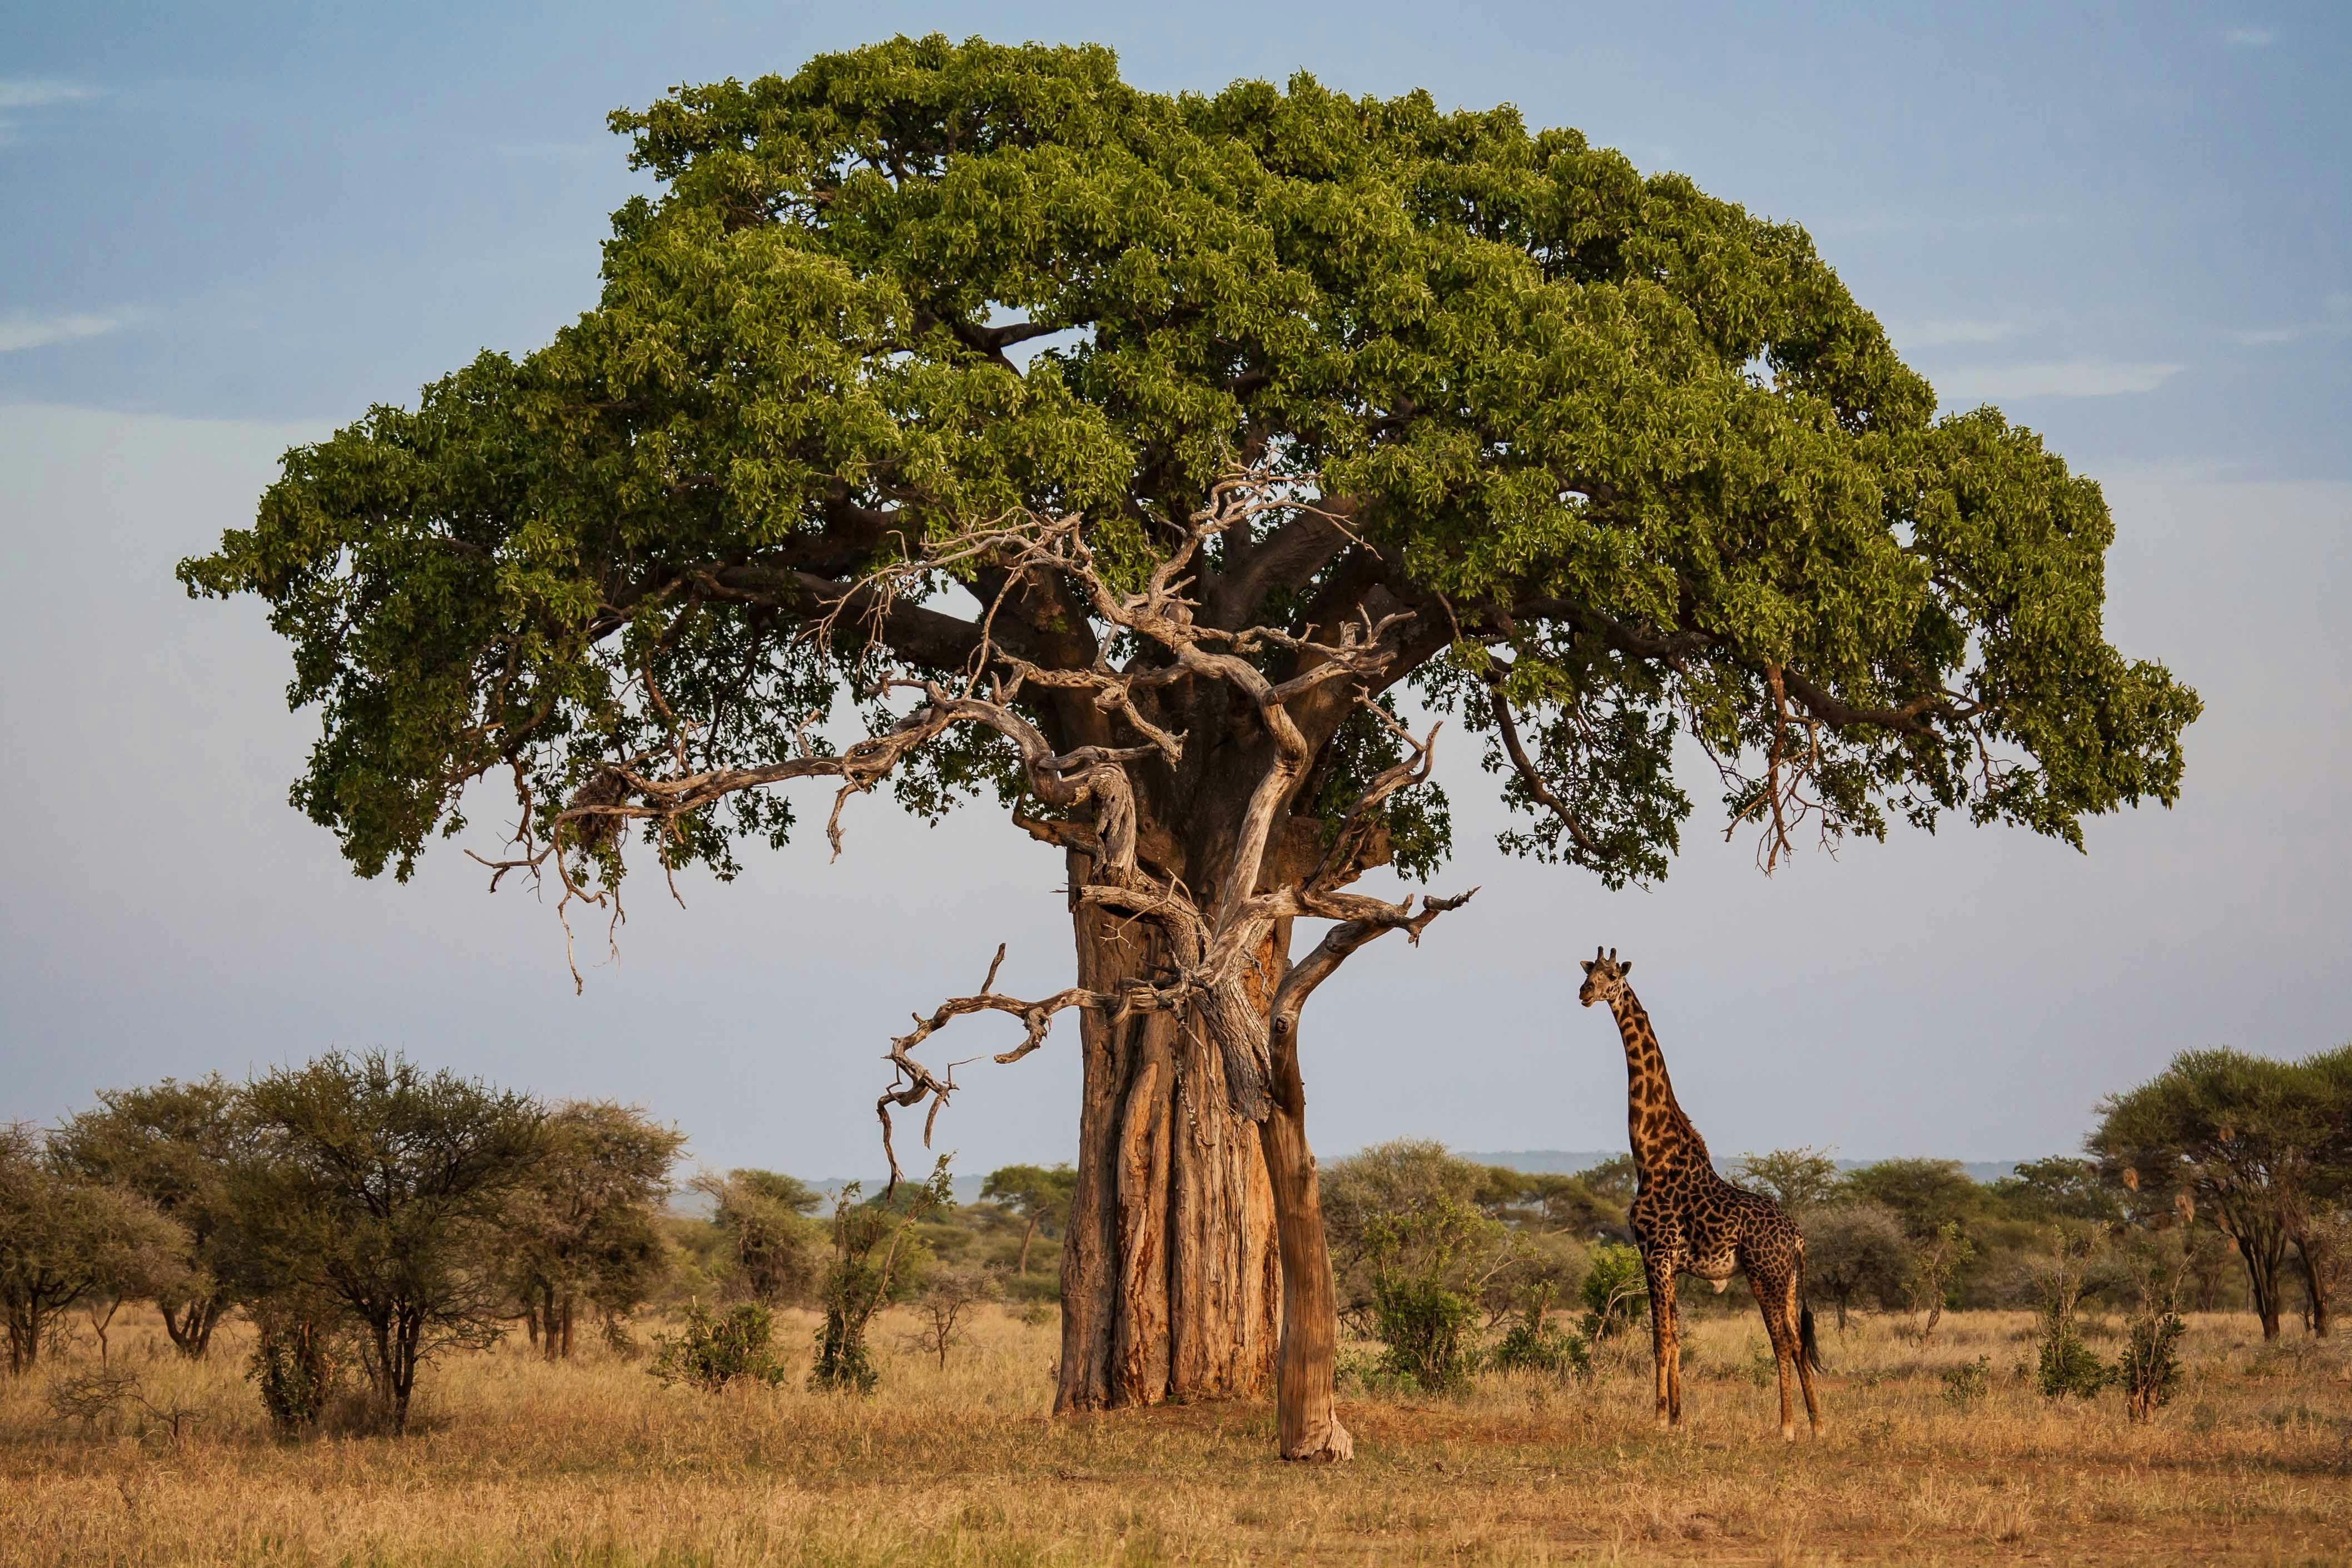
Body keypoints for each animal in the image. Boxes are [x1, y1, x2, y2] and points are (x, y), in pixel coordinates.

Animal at [1571, 950, 1825, 1438]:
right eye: (1587, 972)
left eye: (1611, 976)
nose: (1585, 993)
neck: (1650, 1154)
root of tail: (1798, 1237)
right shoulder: (1668, 1261)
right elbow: (1675, 1335)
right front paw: (1676, 1417)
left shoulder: (1656, 1253)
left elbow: (1660, 1338)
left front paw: (1657, 1418)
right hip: (1787, 1282)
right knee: (1800, 1341)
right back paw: (1818, 1426)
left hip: (1765, 1275)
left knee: (1782, 1341)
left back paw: (1785, 1427)